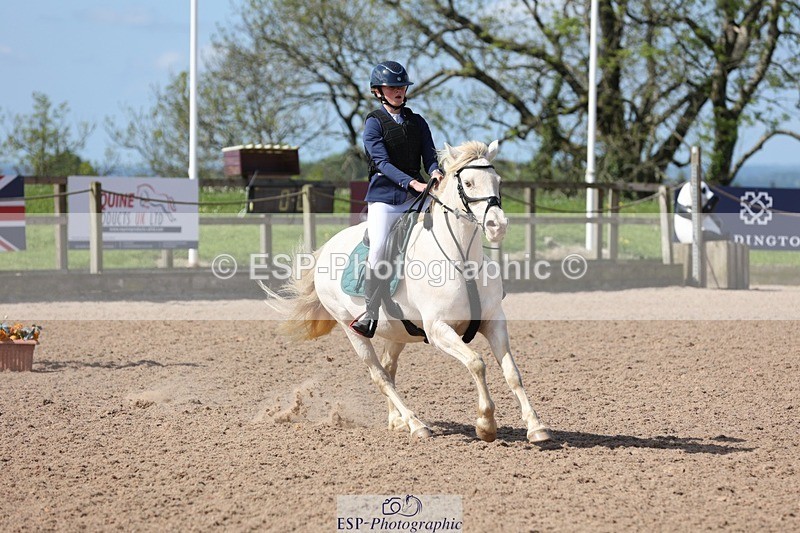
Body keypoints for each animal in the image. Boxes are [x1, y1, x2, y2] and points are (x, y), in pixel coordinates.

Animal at [263, 140, 552, 444]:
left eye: (498, 181)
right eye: (469, 183)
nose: (498, 226)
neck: (462, 261)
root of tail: (327, 247)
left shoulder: (493, 321)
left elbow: (512, 373)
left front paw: (536, 427)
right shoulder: (438, 329)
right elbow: (476, 363)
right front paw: (486, 424)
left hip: (397, 330)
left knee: (389, 369)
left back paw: (397, 421)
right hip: (351, 329)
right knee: (379, 376)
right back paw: (416, 424)